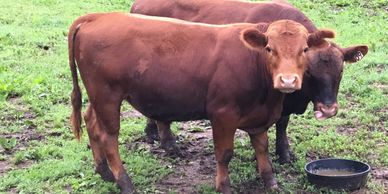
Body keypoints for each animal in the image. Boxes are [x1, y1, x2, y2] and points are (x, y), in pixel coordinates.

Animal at [70, 12, 336, 193]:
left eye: (304, 49)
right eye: (269, 48)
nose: (287, 80)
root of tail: (98, 17)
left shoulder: (259, 116)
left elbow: (262, 147)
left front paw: (270, 181)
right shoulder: (223, 114)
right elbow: (224, 154)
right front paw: (224, 186)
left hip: (98, 97)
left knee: (90, 121)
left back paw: (104, 172)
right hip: (107, 96)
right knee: (108, 136)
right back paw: (124, 182)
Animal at [131, 0, 370, 164]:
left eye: (341, 70)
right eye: (309, 72)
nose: (329, 109)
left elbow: (282, 123)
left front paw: (283, 152)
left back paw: (152, 131)